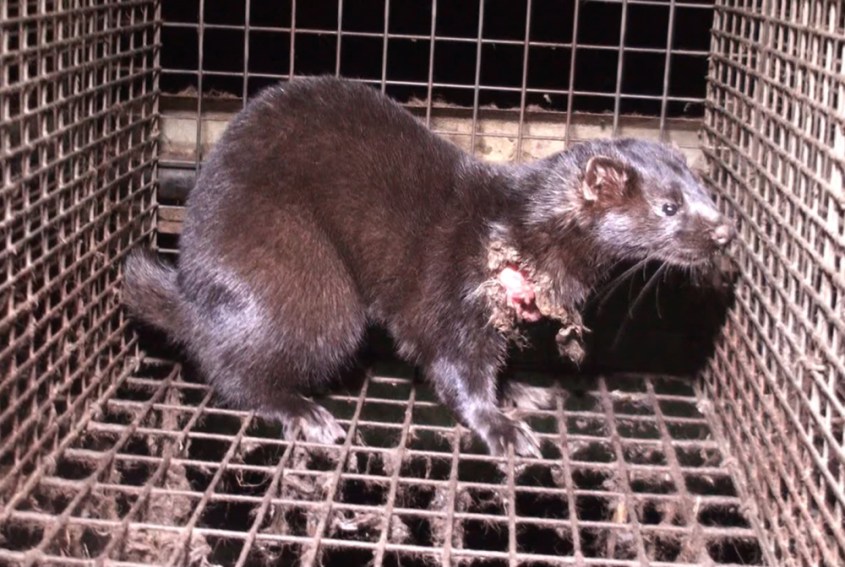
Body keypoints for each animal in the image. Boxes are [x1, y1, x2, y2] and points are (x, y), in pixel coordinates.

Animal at [123, 76, 734, 456]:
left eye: (705, 189)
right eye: (668, 207)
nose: (726, 231)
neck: (518, 230)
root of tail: (193, 287)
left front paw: (523, 390)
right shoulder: (454, 293)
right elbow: (455, 369)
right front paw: (503, 427)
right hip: (304, 281)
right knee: (229, 365)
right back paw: (304, 412)